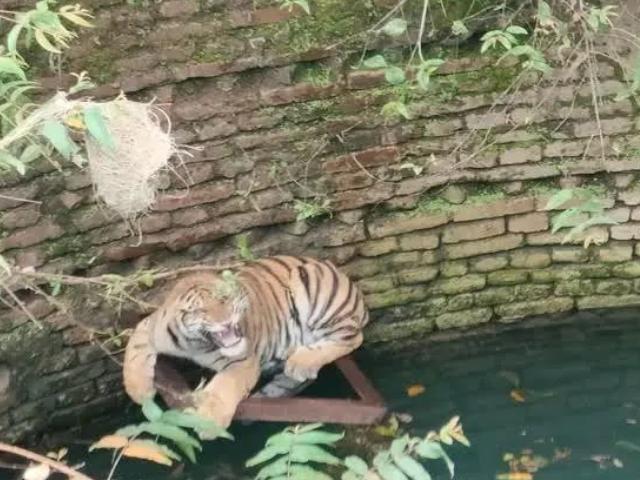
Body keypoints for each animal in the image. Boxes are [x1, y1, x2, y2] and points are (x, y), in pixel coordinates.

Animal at [122, 256, 368, 434]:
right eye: (201, 311)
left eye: (224, 298)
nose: (224, 321)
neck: (196, 344)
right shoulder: (148, 326)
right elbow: (133, 353)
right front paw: (139, 392)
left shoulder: (242, 362)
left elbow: (223, 388)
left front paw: (207, 425)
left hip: (313, 286)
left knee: (353, 338)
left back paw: (301, 362)